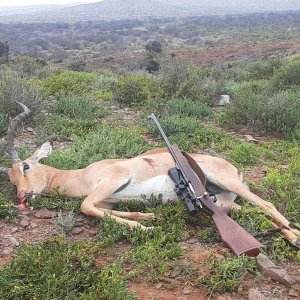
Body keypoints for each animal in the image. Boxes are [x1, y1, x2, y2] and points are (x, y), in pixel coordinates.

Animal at [0, 102, 300, 247]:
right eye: (10, 178)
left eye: (26, 166)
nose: (22, 197)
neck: (80, 176)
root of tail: (233, 167)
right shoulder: (107, 199)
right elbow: (102, 209)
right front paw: (149, 217)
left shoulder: (112, 179)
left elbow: (86, 207)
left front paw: (148, 228)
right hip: (224, 202)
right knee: (256, 212)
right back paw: (290, 236)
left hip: (230, 185)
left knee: (266, 204)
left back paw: (295, 237)